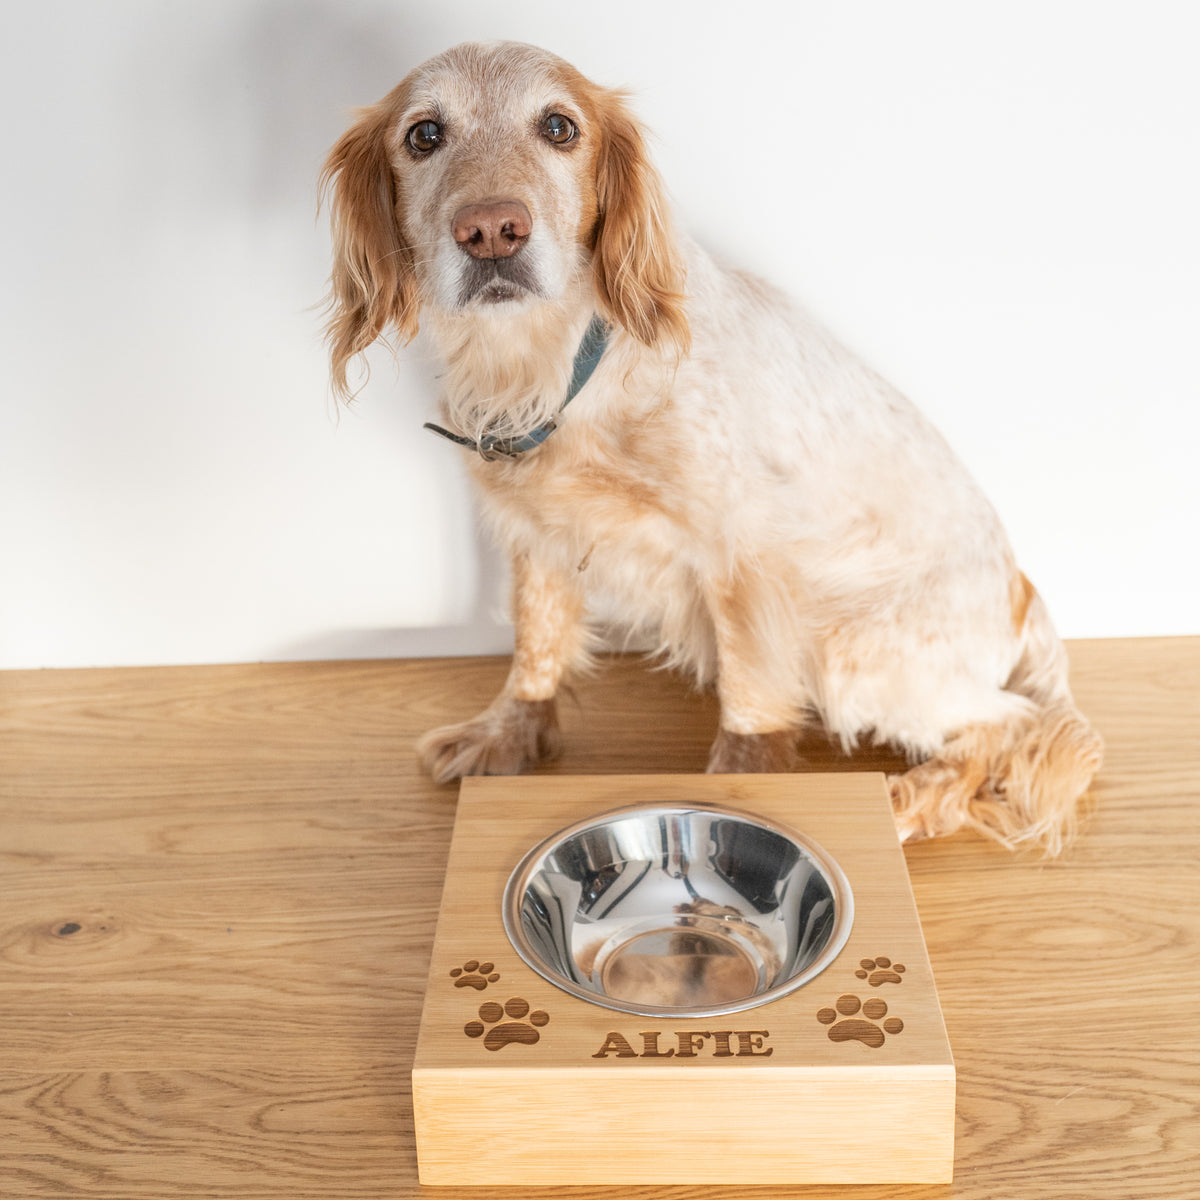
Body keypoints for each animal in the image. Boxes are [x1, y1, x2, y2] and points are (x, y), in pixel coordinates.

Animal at [321, 42, 1104, 859]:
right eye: (424, 135)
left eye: (559, 126)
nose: (493, 229)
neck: (556, 363)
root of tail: (1023, 593)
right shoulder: (536, 532)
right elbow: (534, 651)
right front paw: (508, 736)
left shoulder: (744, 556)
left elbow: (751, 709)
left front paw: (739, 800)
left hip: (849, 652)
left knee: (1016, 727)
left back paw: (906, 805)